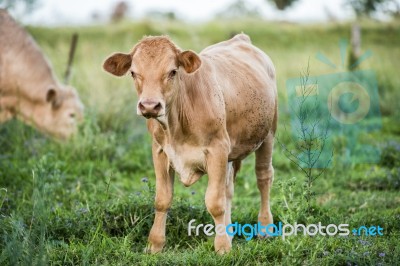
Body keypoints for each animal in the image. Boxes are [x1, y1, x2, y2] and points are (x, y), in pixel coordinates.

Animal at [104, 33, 276, 254]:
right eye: (133, 73)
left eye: (172, 71)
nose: (149, 106)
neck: (177, 126)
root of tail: (241, 38)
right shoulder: (160, 151)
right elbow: (162, 199)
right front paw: (154, 245)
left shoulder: (217, 150)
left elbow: (215, 202)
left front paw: (222, 248)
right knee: (229, 188)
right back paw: (230, 232)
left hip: (268, 133)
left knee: (263, 177)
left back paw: (265, 229)